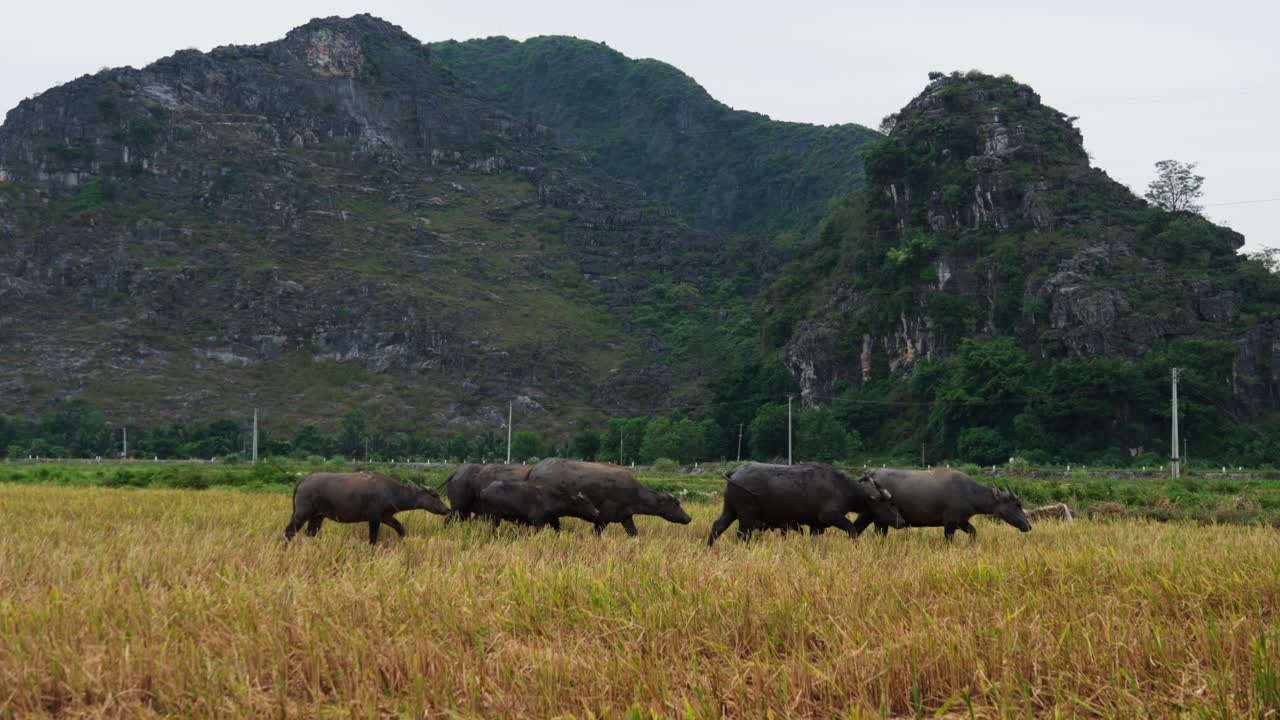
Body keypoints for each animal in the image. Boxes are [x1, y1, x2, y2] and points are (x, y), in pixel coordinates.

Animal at [284, 471, 450, 545]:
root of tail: (304, 479)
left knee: (310, 533)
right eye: (434, 495)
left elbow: (400, 529)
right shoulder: (374, 519)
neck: (393, 492)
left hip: (317, 516)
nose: (447, 509)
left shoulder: (387, 517)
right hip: (302, 512)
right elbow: (373, 539)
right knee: (290, 531)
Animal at [527, 458, 692, 536]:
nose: (688, 518)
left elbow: (634, 533)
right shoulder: (602, 520)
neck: (633, 493)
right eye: (676, 504)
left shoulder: (626, 517)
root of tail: (534, 468)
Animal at [708, 462, 906, 546]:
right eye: (889, 504)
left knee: (718, 526)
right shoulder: (831, 516)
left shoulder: (815, 525)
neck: (841, 487)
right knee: (742, 534)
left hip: (730, 509)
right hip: (747, 515)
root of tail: (735, 471)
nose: (902, 521)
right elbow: (852, 529)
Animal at [856, 468, 1032, 541]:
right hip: (875, 517)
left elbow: (974, 532)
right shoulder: (951, 523)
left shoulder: (962, 521)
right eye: (1017, 504)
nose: (1028, 526)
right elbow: (948, 540)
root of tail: (870, 474)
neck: (969, 493)